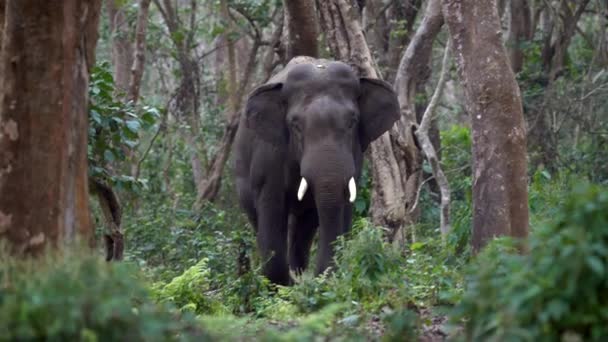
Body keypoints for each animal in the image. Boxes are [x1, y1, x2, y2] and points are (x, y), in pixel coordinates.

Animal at [233, 56, 400, 286]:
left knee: (304, 227)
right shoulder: (268, 158)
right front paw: (284, 286)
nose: (319, 277)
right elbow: (271, 209)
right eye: (295, 125)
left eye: (352, 122)